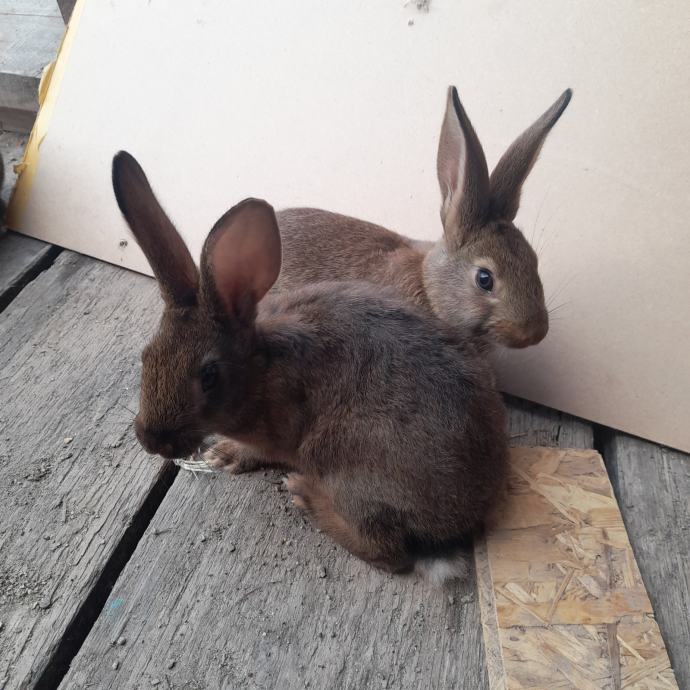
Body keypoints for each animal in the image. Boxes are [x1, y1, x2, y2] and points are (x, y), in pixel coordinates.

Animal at [112, 151, 508, 578]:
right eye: (146, 355)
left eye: (209, 375)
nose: (150, 440)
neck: (260, 371)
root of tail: (460, 519)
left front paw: (225, 455)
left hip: (347, 468)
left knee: (388, 552)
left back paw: (306, 495)